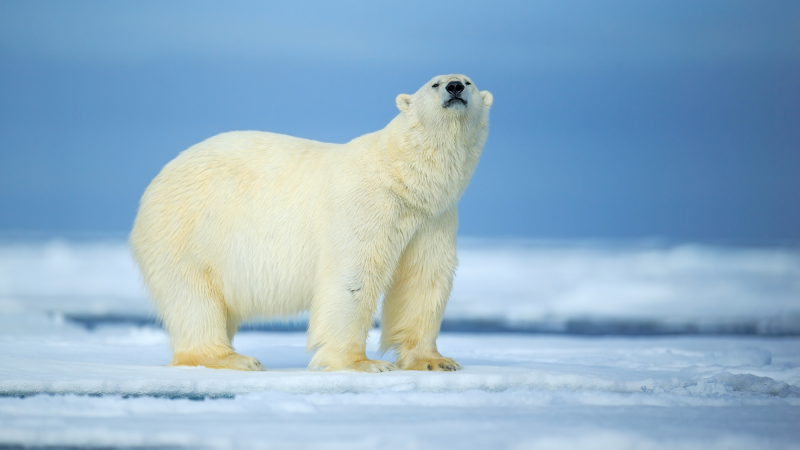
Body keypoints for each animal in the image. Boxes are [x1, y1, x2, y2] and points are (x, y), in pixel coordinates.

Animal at [130, 74, 490, 372]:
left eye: (469, 81)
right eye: (434, 83)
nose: (454, 87)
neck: (403, 175)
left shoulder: (434, 219)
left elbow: (424, 279)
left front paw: (435, 361)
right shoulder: (365, 205)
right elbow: (353, 276)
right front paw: (361, 363)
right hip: (187, 230)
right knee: (193, 299)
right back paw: (232, 358)